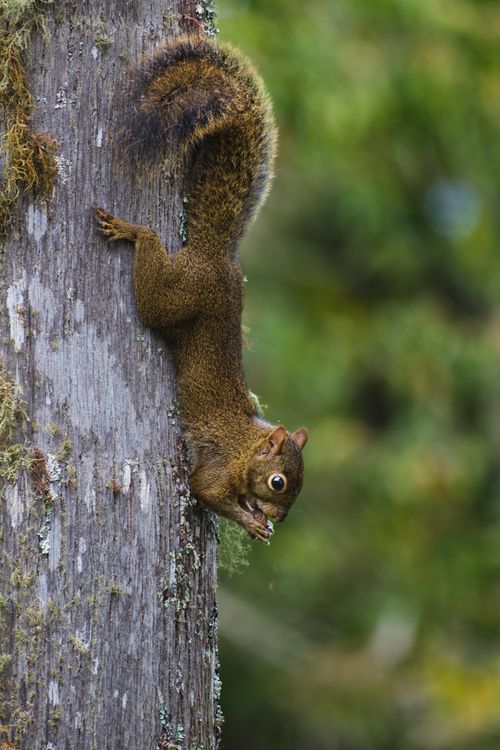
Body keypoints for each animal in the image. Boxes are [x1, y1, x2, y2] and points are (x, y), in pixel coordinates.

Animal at [93, 36, 308, 544]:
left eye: (299, 489)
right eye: (278, 481)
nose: (278, 518)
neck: (249, 446)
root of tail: (216, 257)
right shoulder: (220, 468)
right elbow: (206, 490)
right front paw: (250, 521)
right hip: (176, 295)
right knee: (153, 283)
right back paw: (135, 232)